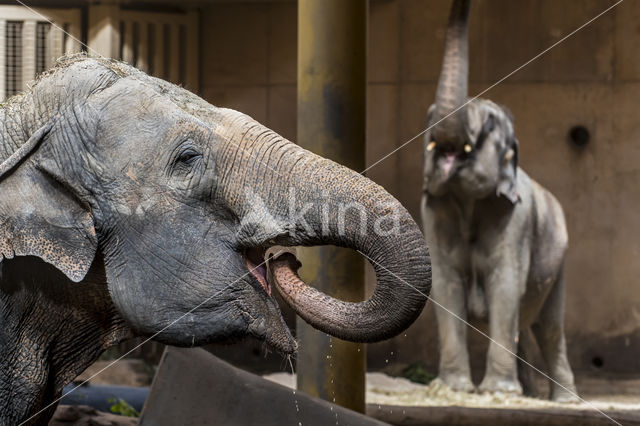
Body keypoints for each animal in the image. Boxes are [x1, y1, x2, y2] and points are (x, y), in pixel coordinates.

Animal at [422, 0, 576, 402]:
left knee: (550, 327)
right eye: (427, 122)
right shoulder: (433, 211)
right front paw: (455, 387)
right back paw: (529, 393)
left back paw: (558, 399)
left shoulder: (516, 220)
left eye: (490, 126)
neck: (467, 203)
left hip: (561, 262)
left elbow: (505, 284)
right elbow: (445, 284)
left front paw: (495, 392)